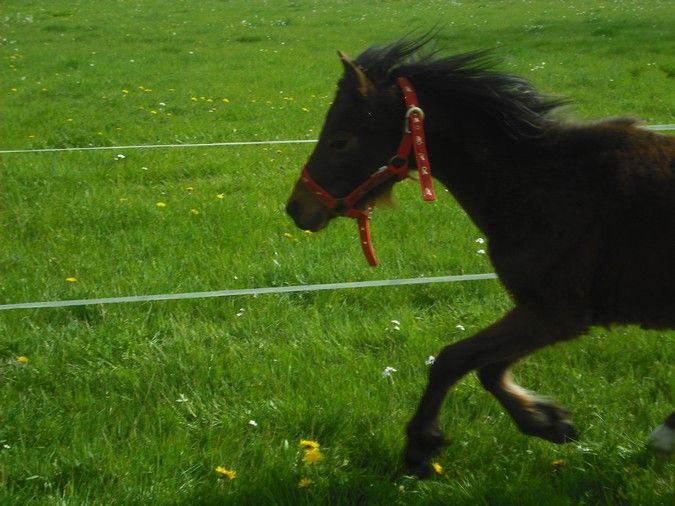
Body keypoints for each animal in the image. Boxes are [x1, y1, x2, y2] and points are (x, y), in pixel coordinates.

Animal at [285, 38, 675, 477]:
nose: (297, 207)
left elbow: (452, 359)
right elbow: (485, 368)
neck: (546, 182)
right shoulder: (541, 313)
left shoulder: (557, 313)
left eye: (340, 140)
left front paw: (420, 446)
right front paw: (548, 420)